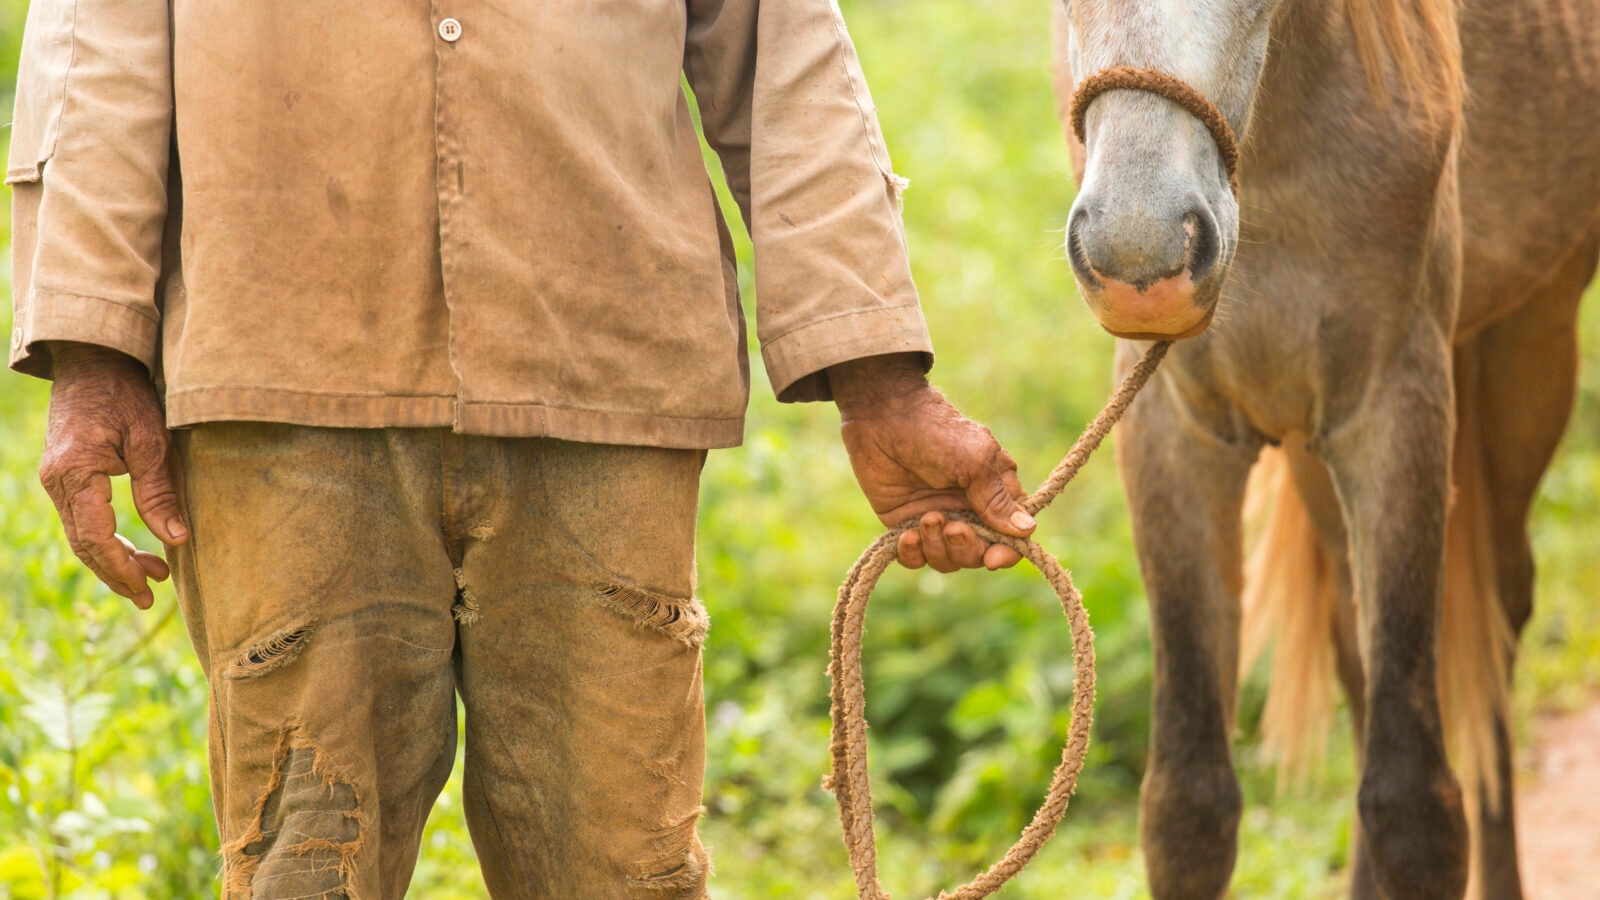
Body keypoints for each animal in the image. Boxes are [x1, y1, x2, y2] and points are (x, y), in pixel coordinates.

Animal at [1051, 0, 1600, 895]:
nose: (1140, 252)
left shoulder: (1395, 413)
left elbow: (1416, 806)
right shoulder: (1172, 429)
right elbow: (1187, 807)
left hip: (1534, 339)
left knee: (1500, 619)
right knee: (1356, 641)